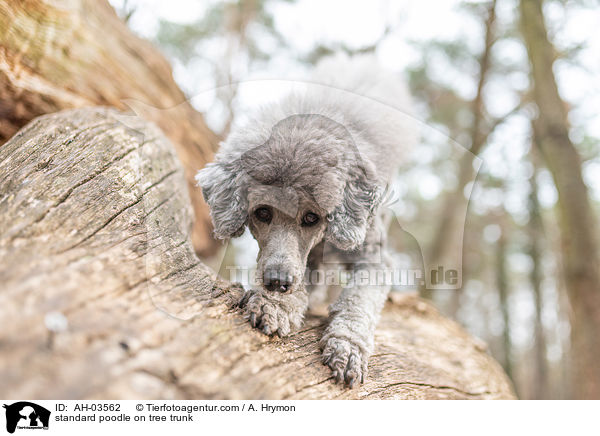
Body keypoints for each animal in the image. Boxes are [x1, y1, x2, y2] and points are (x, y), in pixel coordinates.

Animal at [197, 53, 418, 384]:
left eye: (312, 217)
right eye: (262, 212)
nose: (277, 282)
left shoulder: (373, 256)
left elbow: (360, 299)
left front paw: (347, 347)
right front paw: (276, 306)